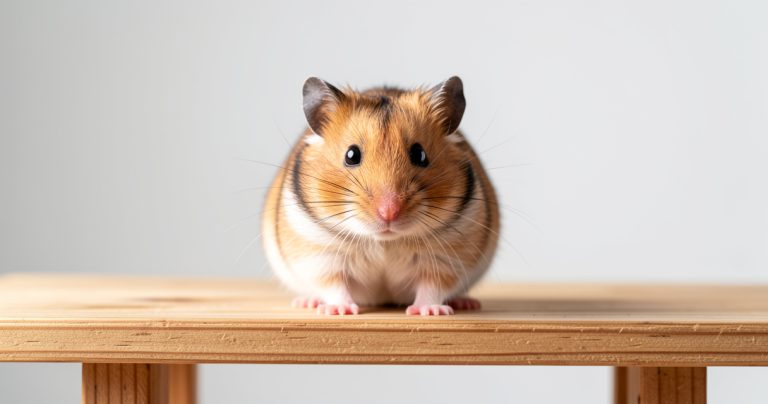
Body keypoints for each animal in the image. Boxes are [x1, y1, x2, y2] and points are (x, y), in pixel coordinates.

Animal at [261, 76, 500, 316]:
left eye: (420, 154)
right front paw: (339, 310)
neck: (384, 241)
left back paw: (466, 303)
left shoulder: (446, 259)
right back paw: (307, 302)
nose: (389, 213)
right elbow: (334, 285)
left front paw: (429, 311)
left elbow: (432, 286)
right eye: (351, 155)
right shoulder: (320, 256)